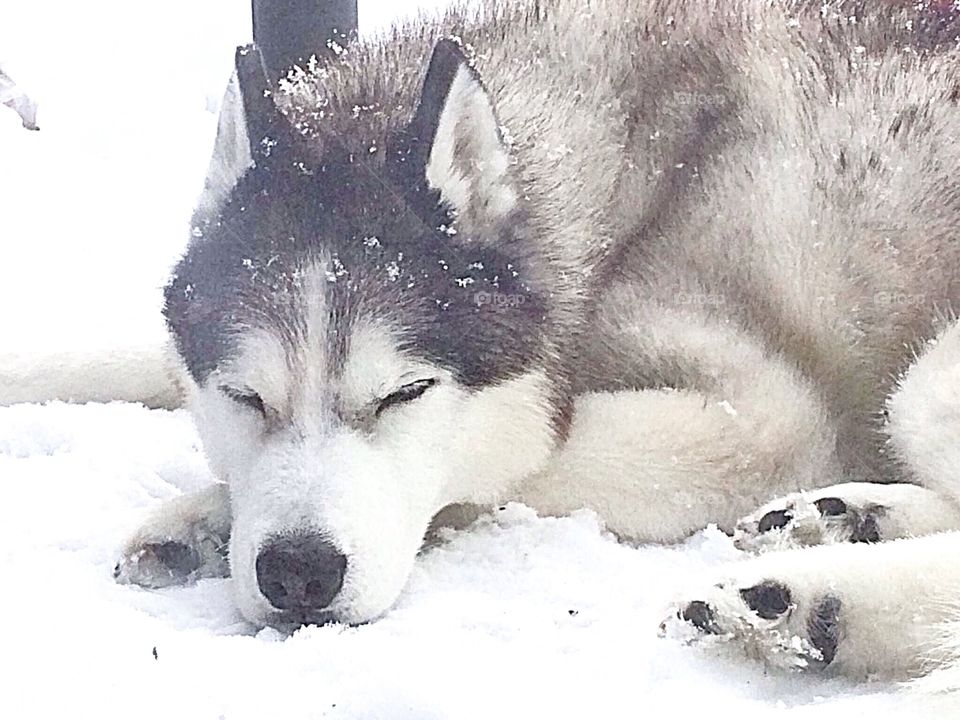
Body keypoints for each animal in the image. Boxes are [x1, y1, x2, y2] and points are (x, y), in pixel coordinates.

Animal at [114, 0, 960, 688]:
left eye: (405, 393)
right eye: (245, 396)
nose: (298, 572)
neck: (629, 163)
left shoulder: (757, 418)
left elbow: (507, 466)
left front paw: (203, 514)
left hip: (925, 380)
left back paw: (808, 600)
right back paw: (841, 527)